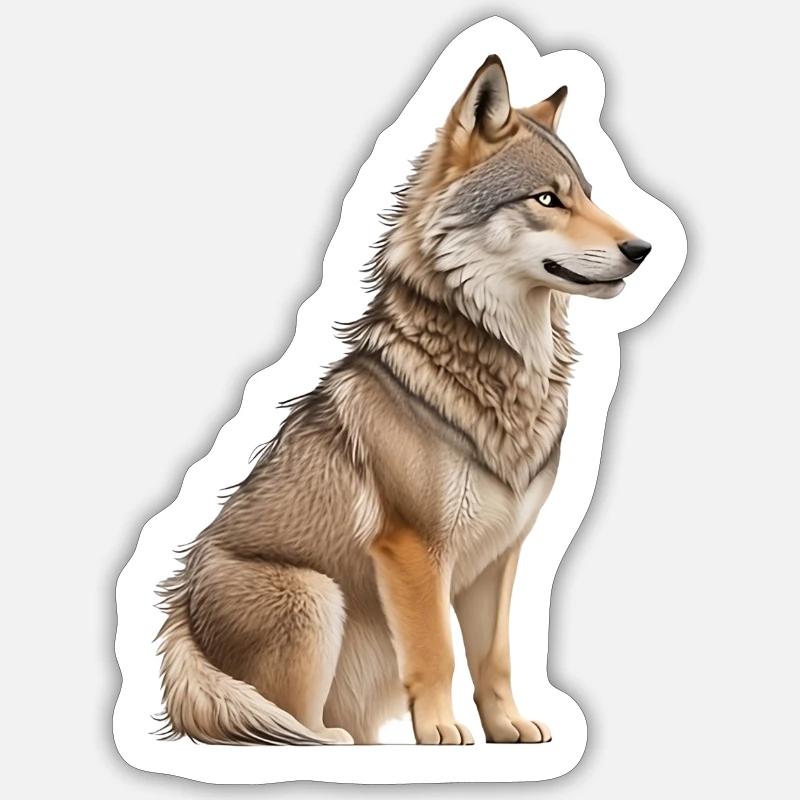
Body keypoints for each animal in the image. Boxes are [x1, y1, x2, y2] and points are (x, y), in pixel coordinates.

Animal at [156, 55, 651, 746]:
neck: (502, 372)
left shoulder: (501, 556)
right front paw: (442, 733)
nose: (642, 249)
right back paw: (331, 744)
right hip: (316, 596)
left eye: (587, 194)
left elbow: (494, 655)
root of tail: (178, 610)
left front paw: (506, 727)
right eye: (547, 199)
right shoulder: (413, 549)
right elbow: (437, 651)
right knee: (287, 721)